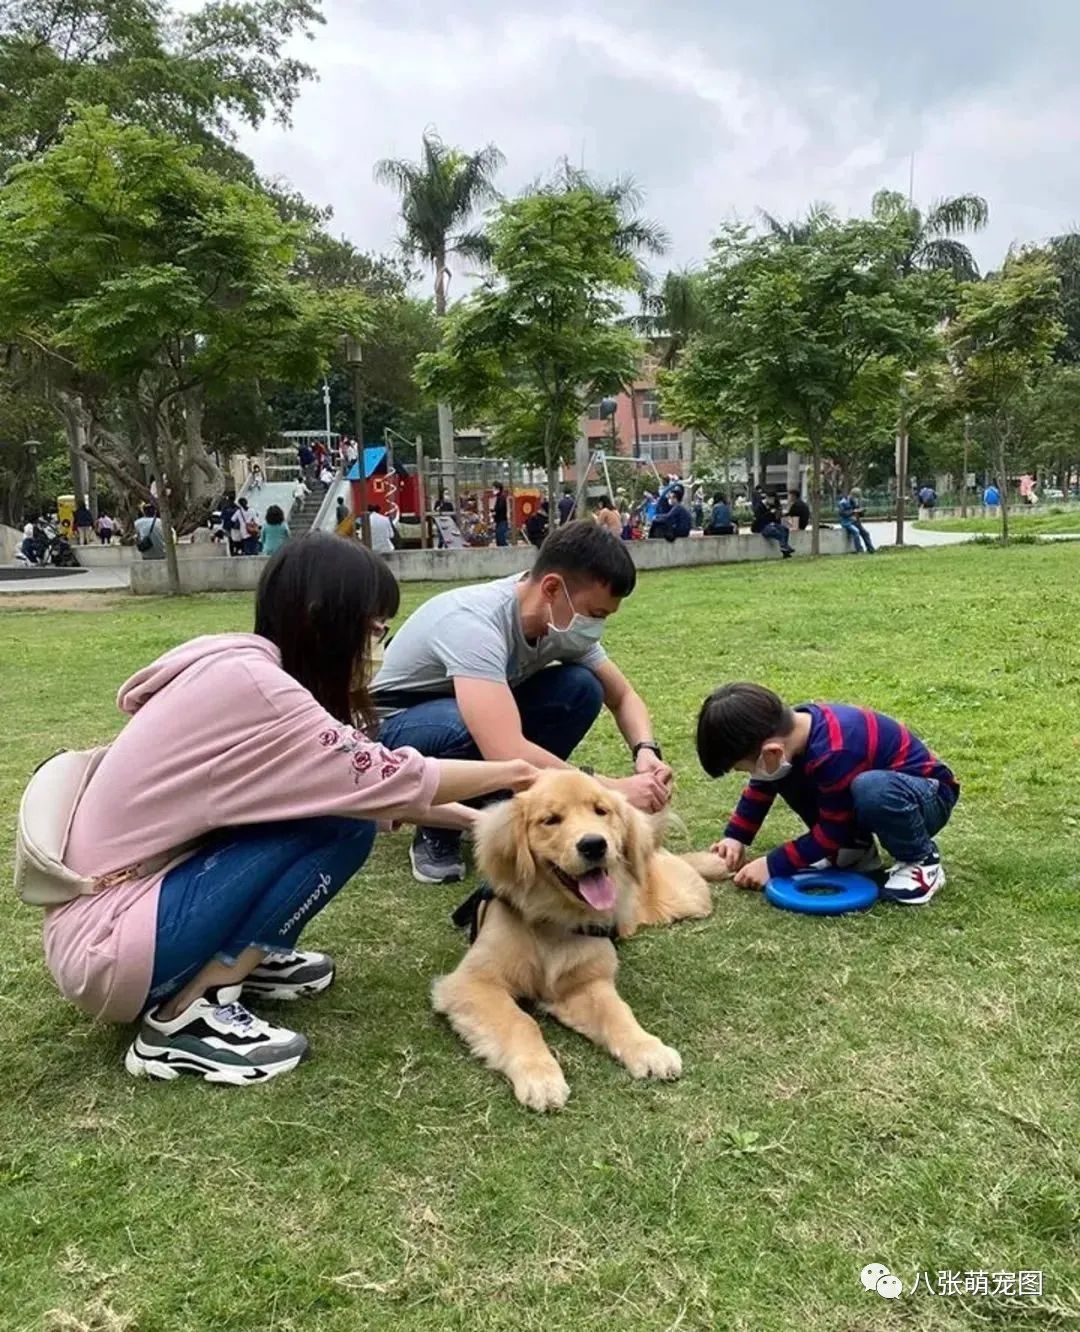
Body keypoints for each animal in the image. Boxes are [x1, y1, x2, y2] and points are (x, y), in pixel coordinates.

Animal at [431, 767, 724, 1108]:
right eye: (550, 820)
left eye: (601, 811)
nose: (594, 845)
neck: (555, 922)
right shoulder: (471, 982)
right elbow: (520, 1021)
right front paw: (540, 1075)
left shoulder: (585, 983)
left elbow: (617, 1012)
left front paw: (649, 1049)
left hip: (685, 897)